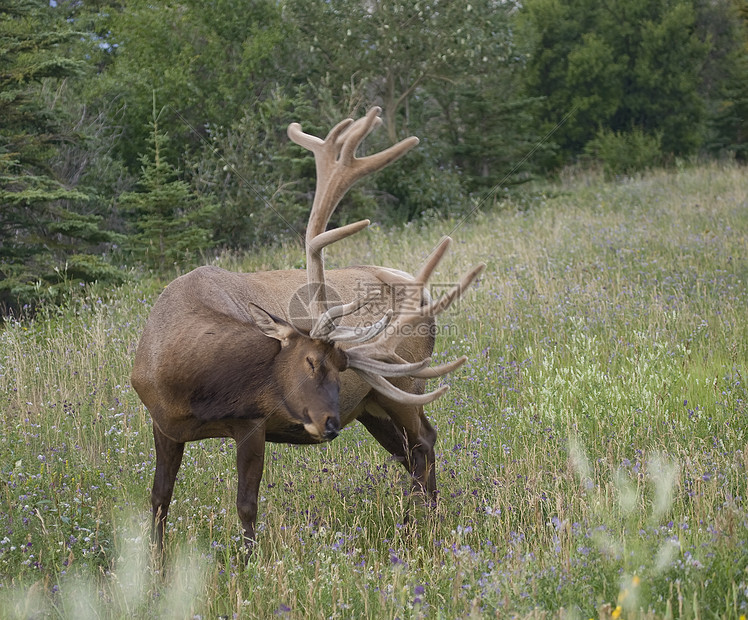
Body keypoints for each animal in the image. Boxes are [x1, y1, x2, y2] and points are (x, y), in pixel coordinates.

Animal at [131, 105, 482, 552]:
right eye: (311, 363)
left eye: (339, 368)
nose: (328, 424)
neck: (186, 382)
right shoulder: (163, 424)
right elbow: (159, 499)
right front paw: (154, 562)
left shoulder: (252, 423)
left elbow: (246, 508)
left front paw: (247, 565)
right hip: (372, 403)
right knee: (410, 451)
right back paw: (419, 522)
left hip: (405, 387)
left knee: (425, 442)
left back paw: (422, 525)